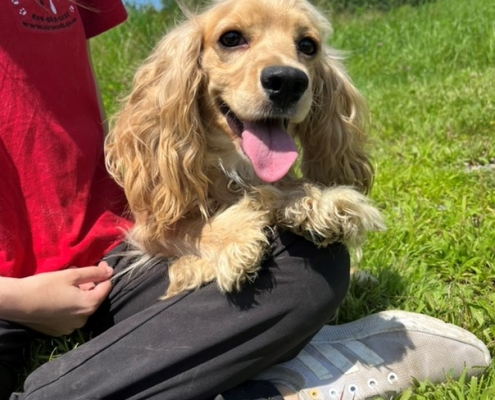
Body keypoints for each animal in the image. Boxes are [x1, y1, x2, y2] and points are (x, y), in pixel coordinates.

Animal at [104, 0, 386, 298]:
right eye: (231, 38)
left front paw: (320, 202)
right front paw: (232, 239)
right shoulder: (147, 229)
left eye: (308, 45)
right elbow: (183, 228)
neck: (236, 165)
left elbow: (280, 190)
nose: (288, 82)